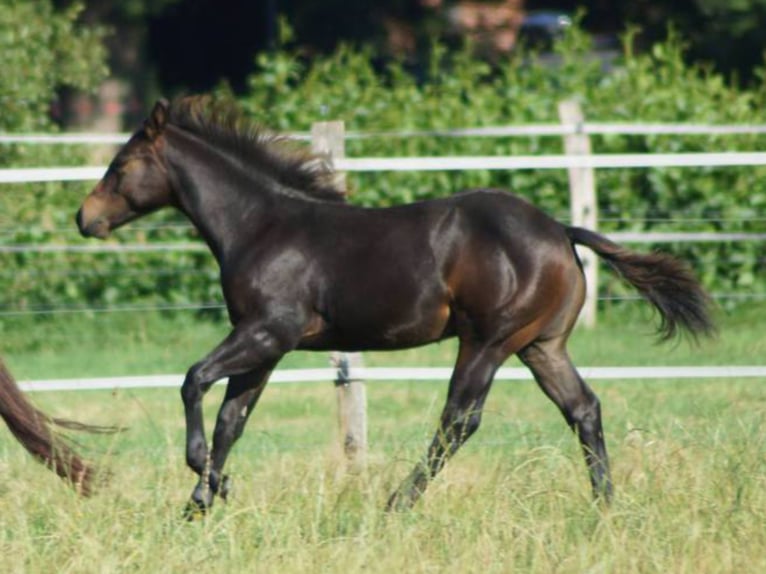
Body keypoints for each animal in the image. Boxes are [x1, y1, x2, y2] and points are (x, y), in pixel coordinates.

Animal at [75, 96, 714, 515]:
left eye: (121, 165)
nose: (86, 218)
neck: (260, 225)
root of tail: (560, 230)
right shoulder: (267, 347)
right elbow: (233, 418)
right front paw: (203, 500)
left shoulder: (267, 332)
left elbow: (193, 381)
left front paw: (205, 482)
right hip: (540, 345)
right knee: (582, 408)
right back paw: (606, 505)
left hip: (487, 341)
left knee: (459, 420)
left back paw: (396, 503)